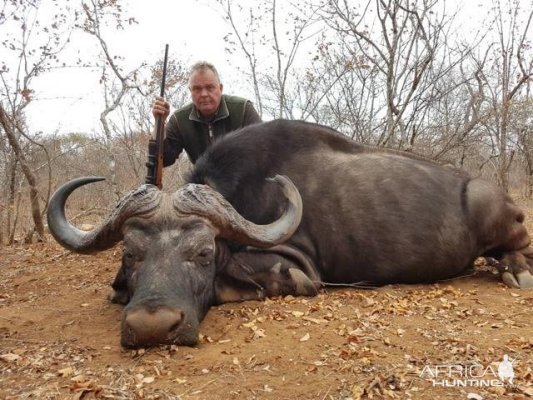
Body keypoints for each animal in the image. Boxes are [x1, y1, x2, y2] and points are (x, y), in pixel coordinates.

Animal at [47, 118, 532, 346]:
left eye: (203, 253)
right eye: (130, 254)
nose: (152, 327)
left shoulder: (300, 269)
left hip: (499, 215)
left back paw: (515, 270)